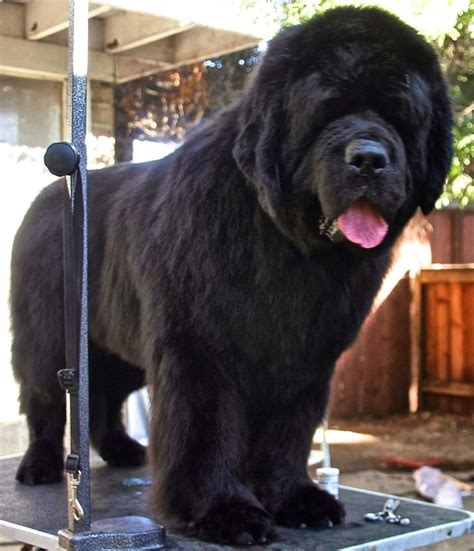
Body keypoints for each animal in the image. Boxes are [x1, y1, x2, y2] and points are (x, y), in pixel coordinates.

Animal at [11, 5, 452, 548]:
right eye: (326, 113)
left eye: (400, 118)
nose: (369, 158)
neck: (288, 245)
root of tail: (49, 197)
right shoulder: (199, 348)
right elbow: (206, 432)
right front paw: (222, 511)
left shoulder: (307, 357)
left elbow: (289, 432)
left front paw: (294, 499)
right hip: (52, 336)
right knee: (46, 398)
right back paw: (40, 465)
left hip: (116, 343)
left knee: (107, 396)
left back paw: (123, 450)